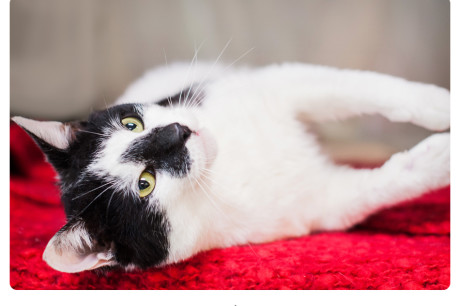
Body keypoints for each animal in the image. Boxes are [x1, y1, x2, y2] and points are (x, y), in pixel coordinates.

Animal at [10, 62, 450, 272]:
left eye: (131, 123)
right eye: (145, 183)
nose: (177, 132)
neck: (223, 163)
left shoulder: (279, 84)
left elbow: (361, 87)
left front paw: (438, 102)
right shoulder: (319, 204)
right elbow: (387, 182)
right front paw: (440, 156)